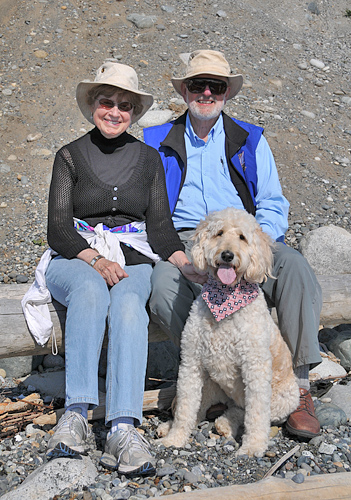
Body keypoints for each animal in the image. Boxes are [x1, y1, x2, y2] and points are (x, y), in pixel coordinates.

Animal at [159, 207, 300, 458]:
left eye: (242, 237)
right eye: (219, 233)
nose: (227, 255)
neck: (224, 300)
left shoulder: (255, 369)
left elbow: (256, 414)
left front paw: (253, 447)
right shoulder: (191, 362)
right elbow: (186, 406)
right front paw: (175, 438)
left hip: (283, 399)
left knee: (246, 411)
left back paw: (226, 424)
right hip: (213, 384)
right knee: (207, 407)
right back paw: (172, 425)